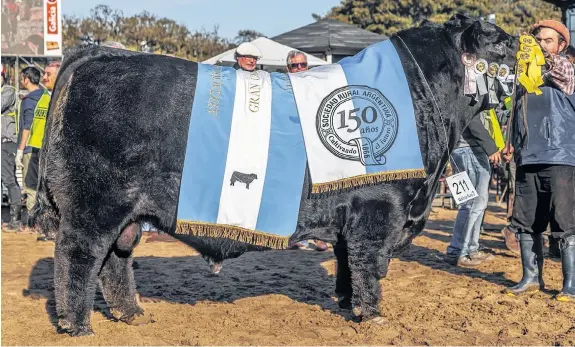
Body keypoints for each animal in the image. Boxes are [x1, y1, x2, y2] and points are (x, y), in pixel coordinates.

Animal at [30, 14, 516, 336]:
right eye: (499, 43)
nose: (521, 44)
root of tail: (99, 53)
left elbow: (346, 261)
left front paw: (346, 302)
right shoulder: (380, 208)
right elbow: (369, 263)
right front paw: (371, 313)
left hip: (128, 213)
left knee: (115, 260)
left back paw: (131, 313)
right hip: (94, 205)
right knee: (79, 256)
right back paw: (77, 325)